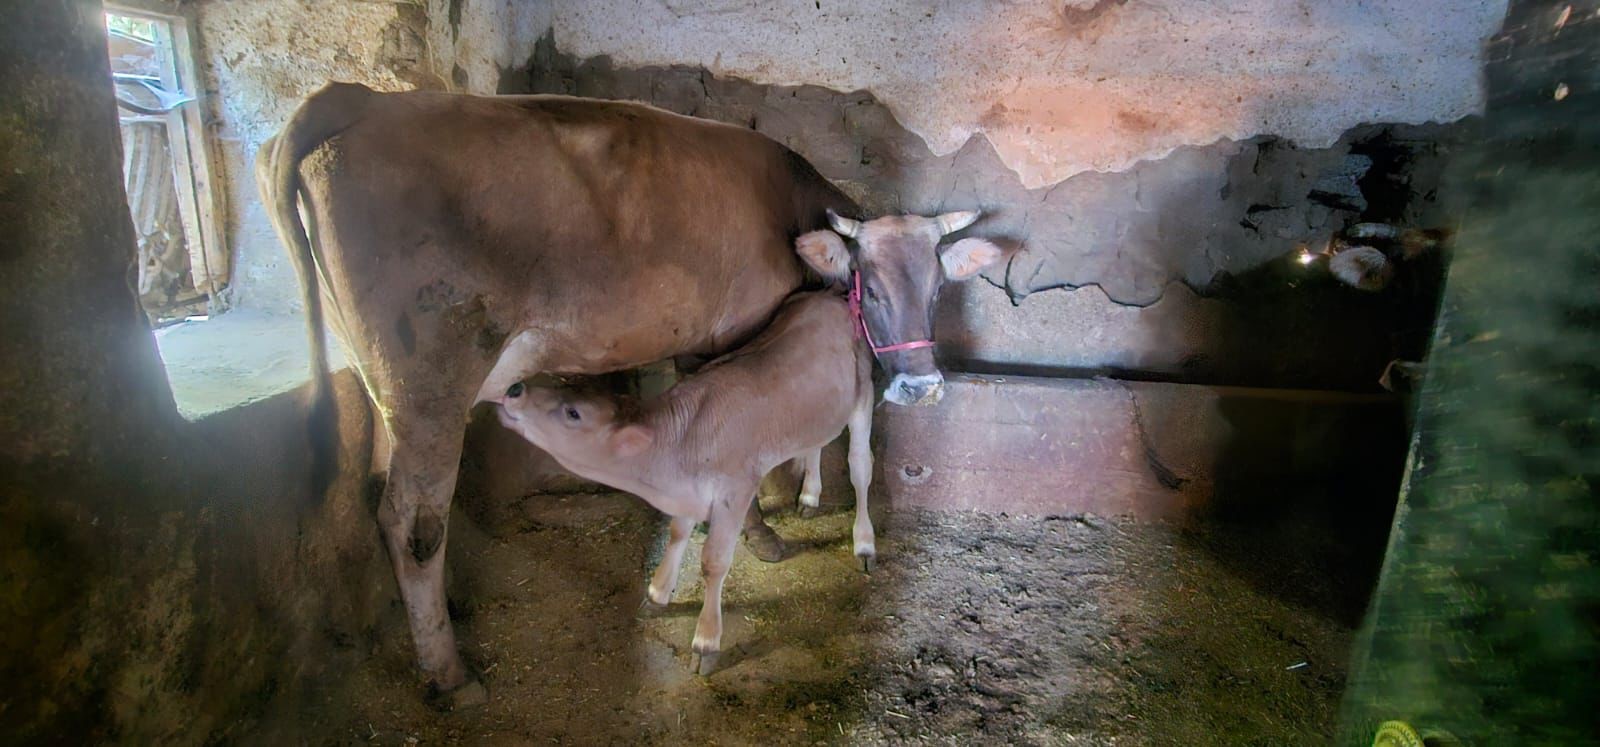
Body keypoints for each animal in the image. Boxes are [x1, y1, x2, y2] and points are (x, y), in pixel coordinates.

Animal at [499, 291, 876, 671]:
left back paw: (864, 544)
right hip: (817, 409)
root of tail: (830, 296)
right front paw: (657, 594)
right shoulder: (686, 490)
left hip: (864, 395)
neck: (678, 445)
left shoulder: (735, 491)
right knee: (816, 442)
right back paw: (810, 497)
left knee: (860, 467)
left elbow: (714, 562)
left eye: (573, 413)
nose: (514, 389)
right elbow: (677, 534)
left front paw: (706, 642)